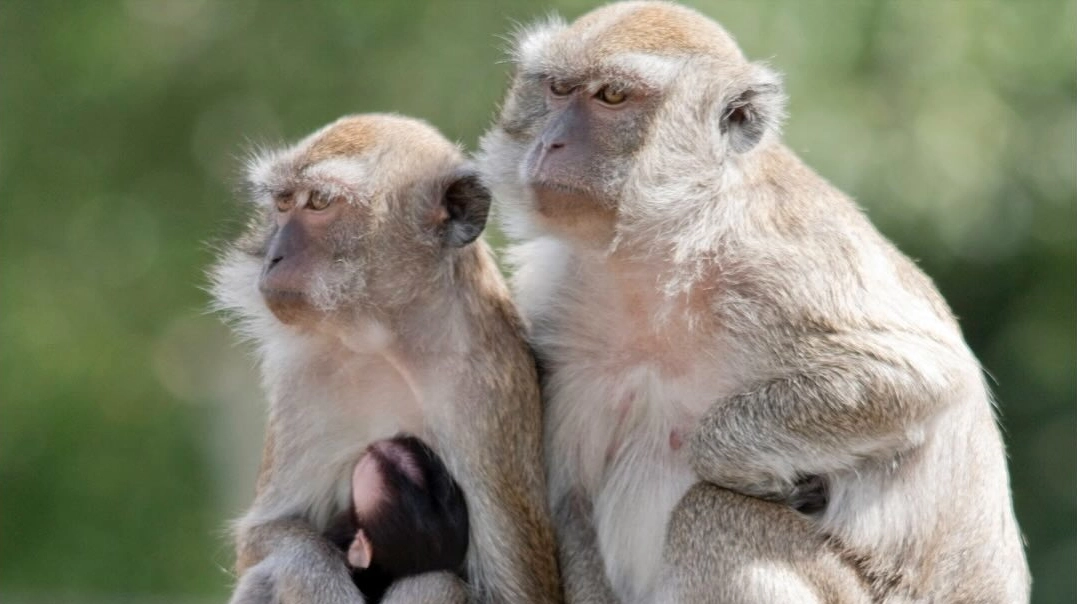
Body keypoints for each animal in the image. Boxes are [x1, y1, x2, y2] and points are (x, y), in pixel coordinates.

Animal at [476, 2, 1029, 598]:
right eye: (557, 89)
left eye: (613, 96)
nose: (551, 143)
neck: (660, 253)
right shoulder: (559, 312)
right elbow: (570, 504)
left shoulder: (781, 265)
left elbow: (919, 375)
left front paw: (739, 465)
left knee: (712, 514)